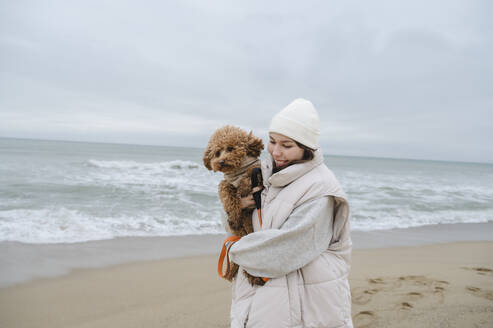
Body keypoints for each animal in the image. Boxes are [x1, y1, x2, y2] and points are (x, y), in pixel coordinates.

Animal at [202, 127, 266, 286]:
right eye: (217, 153)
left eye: (230, 148)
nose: (221, 162)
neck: (237, 172)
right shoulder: (225, 183)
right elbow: (226, 190)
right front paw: (234, 212)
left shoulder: (256, 173)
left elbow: (249, 176)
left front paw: (242, 187)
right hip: (239, 233)